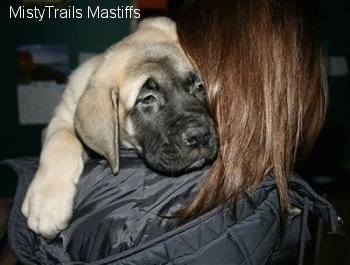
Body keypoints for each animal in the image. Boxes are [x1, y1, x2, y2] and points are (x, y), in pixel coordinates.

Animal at [20, 17, 217, 238]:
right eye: (147, 99)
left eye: (199, 87)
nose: (200, 136)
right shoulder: (63, 115)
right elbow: (59, 141)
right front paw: (47, 201)